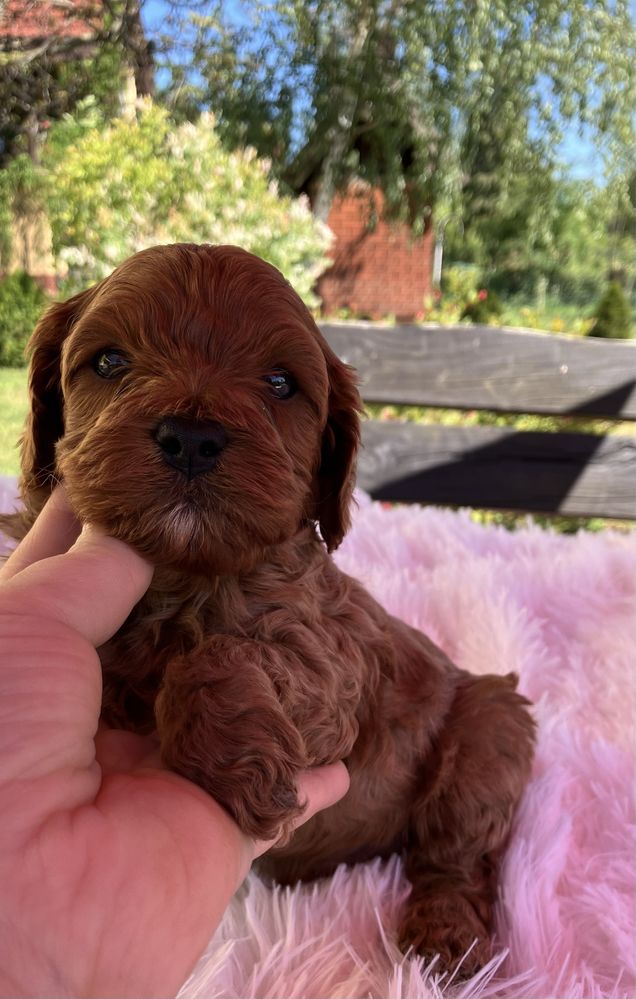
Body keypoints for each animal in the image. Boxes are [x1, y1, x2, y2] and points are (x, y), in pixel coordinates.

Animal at [2, 244, 536, 976]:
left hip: (490, 734)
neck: (184, 569)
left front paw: (244, 770)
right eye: (109, 363)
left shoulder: (334, 663)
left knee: (457, 856)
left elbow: (218, 657)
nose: (192, 437)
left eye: (281, 384)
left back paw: (446, 946)